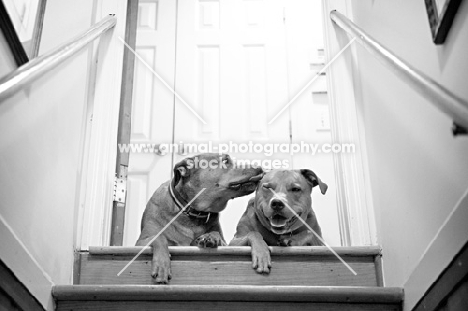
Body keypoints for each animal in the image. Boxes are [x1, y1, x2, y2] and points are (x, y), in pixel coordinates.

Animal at [137, 155, 266, 284]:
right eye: (225, 160)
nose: (260, 167)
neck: (194, 213)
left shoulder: (226, 245)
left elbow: (217, 233)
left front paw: (210, 237)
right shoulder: (141, 241)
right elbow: (159, 238)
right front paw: (161, 265)